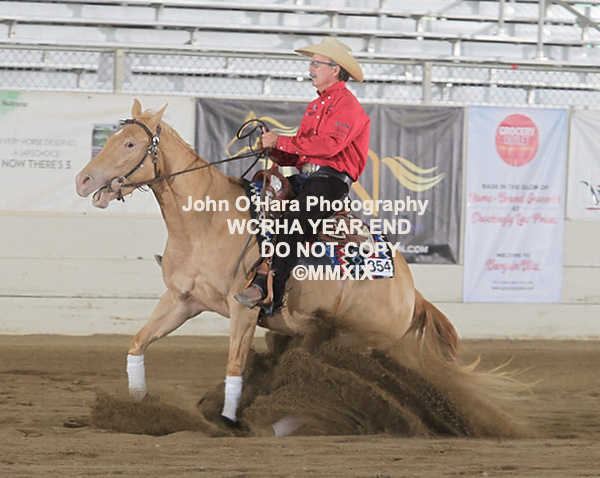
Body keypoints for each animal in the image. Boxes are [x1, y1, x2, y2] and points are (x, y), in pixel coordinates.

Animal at [75, 99, 460, 426]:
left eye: (130, 144)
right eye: (110, 138)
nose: (83, 180)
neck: (206, 222)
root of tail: (410, 291)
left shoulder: (242, 309)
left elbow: (235, 364)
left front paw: (227, 421)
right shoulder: (182, 300)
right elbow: (138, 342)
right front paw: (137, 405)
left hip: (361, 344)